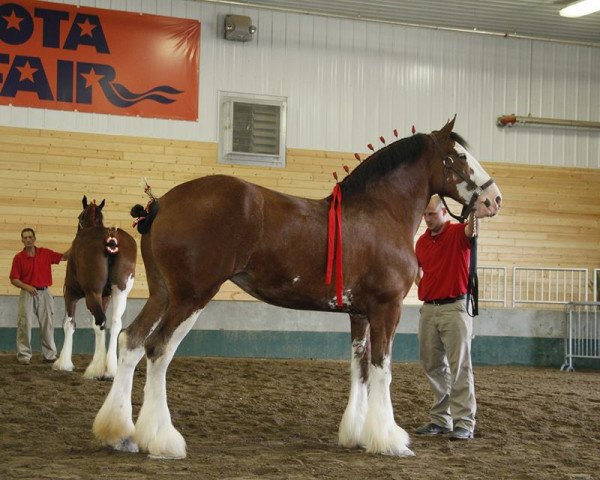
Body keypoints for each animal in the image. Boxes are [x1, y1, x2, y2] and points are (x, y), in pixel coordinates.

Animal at [52, 195, 137, 378]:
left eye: (79, 217)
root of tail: (111, 237)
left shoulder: (70, 293)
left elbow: (69, 324)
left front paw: (63, 363)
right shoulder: (105, 297)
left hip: (92, 292)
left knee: (100, 321)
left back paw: (96, 369)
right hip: (119, 292)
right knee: (114, 323)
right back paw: (110, 369)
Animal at [95, 119, 502, 458]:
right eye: (460, 157)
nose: (493, 199)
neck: (379, 214)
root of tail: (160, 204)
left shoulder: (359, 314)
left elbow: (360, 368)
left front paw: (357, 434)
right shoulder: (387, 309)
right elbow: (382, 368)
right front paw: (389, 440)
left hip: (163, 294)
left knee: (131, 341)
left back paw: (120, 434)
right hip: (191, 297)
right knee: (158, 349)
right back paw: (163, 440)